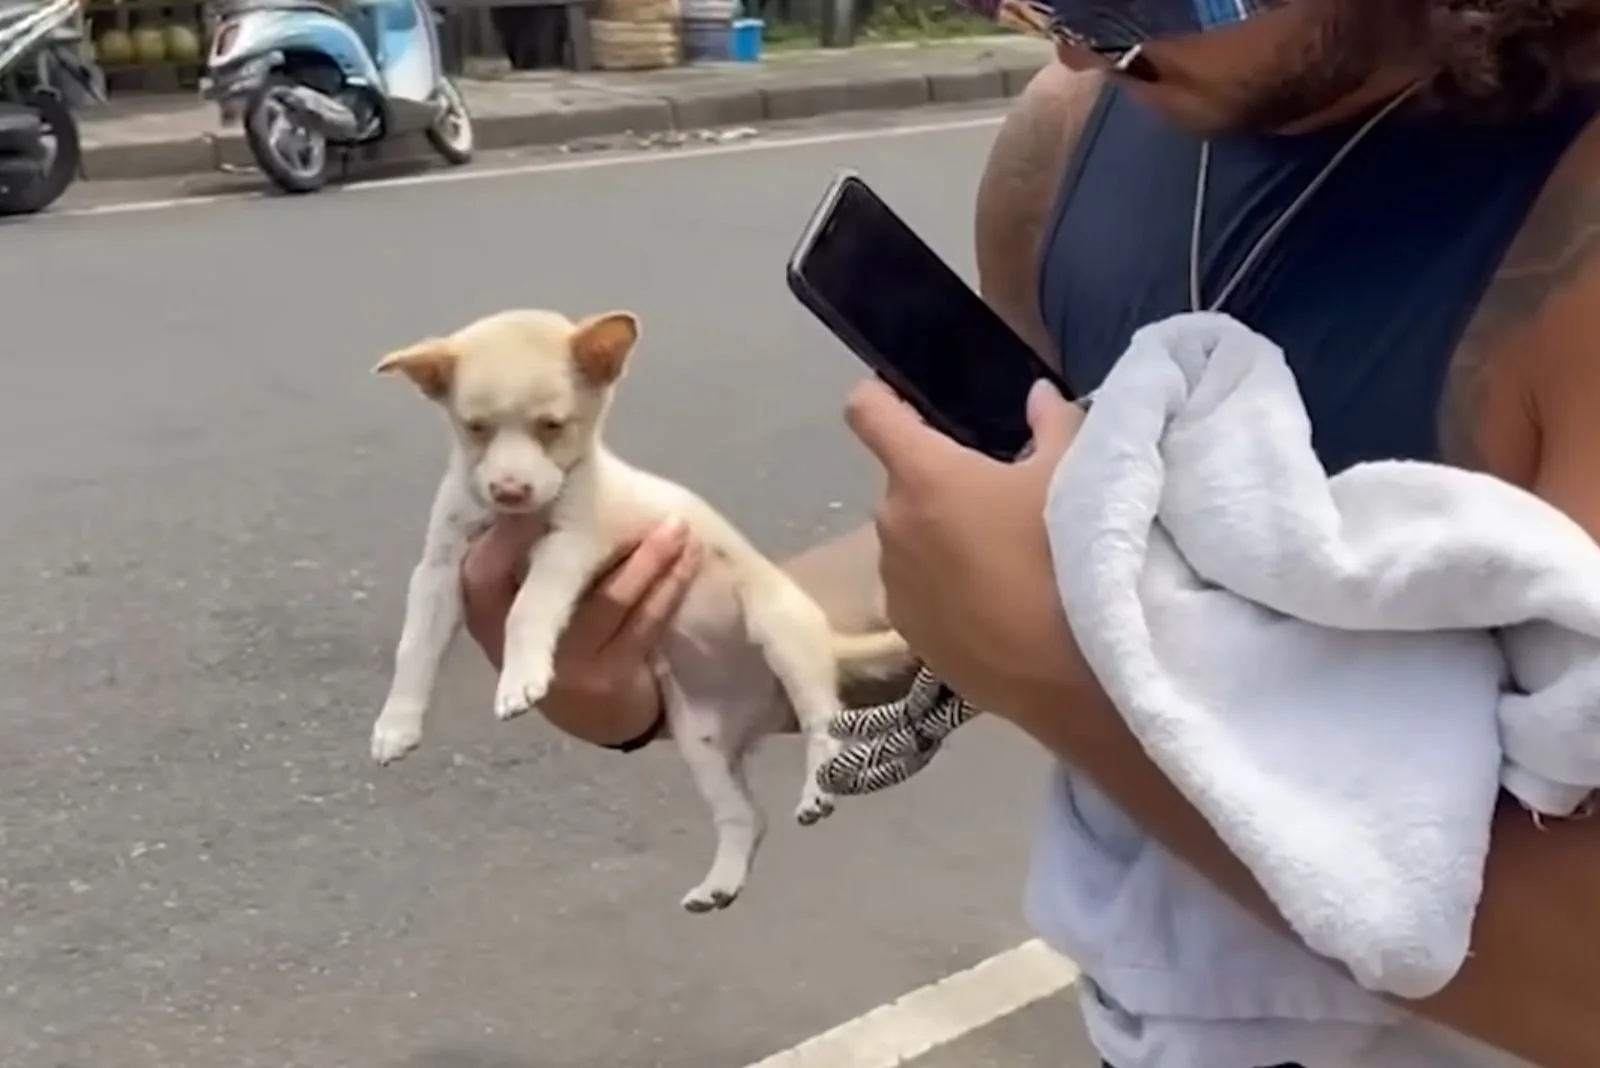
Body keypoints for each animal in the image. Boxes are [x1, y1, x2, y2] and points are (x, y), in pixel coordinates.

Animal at [366, 306, 908, 908]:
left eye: (552, 426)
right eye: (474, 428)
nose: (508, 490)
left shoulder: (570, 547)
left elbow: (527, 608)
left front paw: (519, 679)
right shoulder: (438, 571)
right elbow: (415, 646)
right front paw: (396, 723)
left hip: (782, 636)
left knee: (825, 725)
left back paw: (815, 788)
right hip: (702, 739)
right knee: (745, 816)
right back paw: (720, 882)